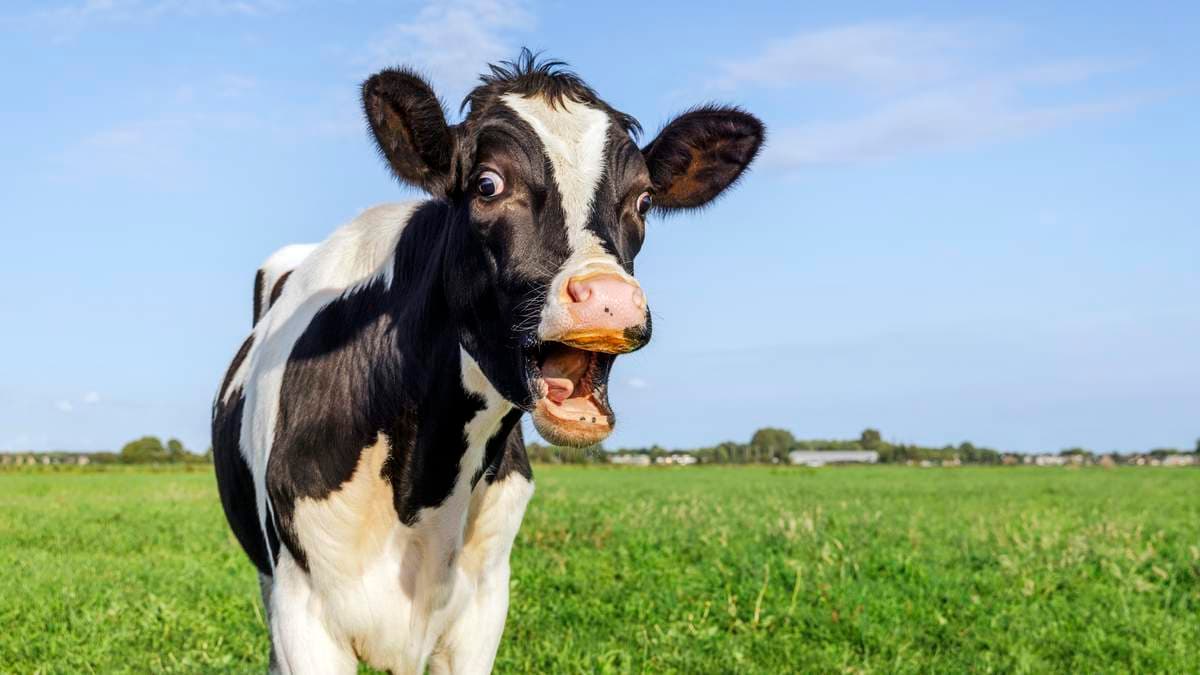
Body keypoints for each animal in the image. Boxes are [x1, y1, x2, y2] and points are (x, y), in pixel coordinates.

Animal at [212, 50, 763, 674]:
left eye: (644, 200)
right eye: (488, 184)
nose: (610, 298)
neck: (422, 492)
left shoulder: (482, 607)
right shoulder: (301, 611)